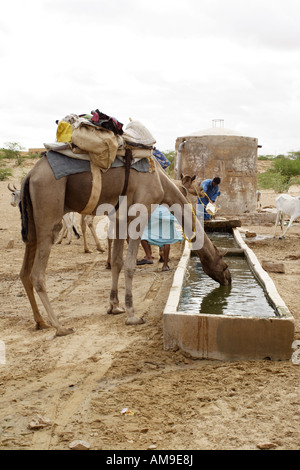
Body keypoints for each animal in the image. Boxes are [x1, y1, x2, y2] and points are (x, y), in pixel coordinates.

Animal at [19, 156, 231, 336]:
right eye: (225, 264)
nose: (228, 280)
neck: (163, 184)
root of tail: (30, 176)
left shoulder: (119, 217)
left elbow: (117, 262)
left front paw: (114, 306)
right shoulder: (140, 213)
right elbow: (129, 266)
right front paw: (132, 315)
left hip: (32, 224)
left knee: (24, 272)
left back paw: (40, 322)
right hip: (48, 212)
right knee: (37, 274)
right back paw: (60, 327)